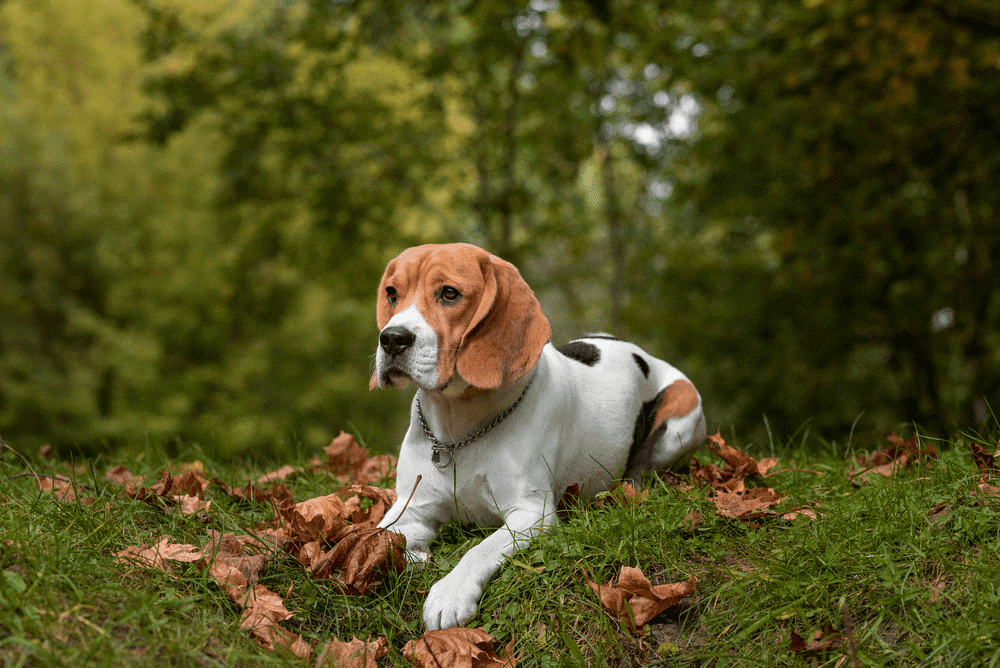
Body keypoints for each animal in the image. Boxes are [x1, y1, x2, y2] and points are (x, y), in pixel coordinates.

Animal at [372, 243, 708, 628]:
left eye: (450, 293)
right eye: (392, 293)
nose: (391, 339)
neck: (457, 426)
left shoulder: (533, 514)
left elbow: (480, 549)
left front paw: (450, 593)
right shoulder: (410, 508)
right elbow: (376, 538)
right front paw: (410, 556)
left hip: (682, 415)